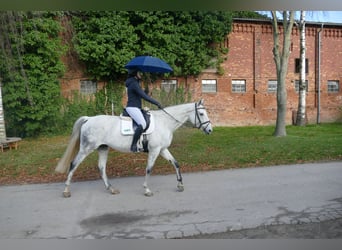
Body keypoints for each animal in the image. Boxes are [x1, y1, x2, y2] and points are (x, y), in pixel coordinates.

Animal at [54, 99, 211, 197]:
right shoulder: (154, 150)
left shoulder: (162, 149)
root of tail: (89, 119)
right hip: (86, 148)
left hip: (103, 148)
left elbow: (176, 163)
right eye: (201, 113)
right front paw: (147, 190)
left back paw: (111, 189)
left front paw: (180, 185)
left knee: (101, 168)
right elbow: (149, 169)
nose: (210, 130)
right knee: (73, 165)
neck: (165, 122)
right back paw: (66, 191)